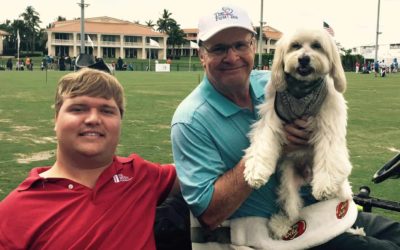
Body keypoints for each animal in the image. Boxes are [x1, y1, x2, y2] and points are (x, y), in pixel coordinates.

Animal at [244, 28, 354, 239]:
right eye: (295, 46)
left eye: (317, 46)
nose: (303, 59)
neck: (302, 93)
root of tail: (307, 174)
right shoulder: (272, 116)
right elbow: (264, 141)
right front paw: (256, 171)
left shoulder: (328, 122)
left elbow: (328, 153)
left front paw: (324, 185)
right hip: (288, 184)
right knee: (293, 211)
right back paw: (281, 225)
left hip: (341, 187)